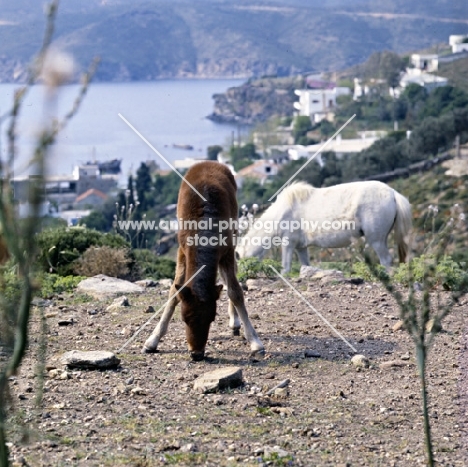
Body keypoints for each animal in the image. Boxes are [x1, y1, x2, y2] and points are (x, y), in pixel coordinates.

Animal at [236, 181, 412, 272]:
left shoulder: (288, 243)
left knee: (386, 260)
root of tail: (392, 193)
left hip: (376, 240)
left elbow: (285, 268)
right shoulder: (300, 247)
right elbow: (305, 265)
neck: (283, 211)